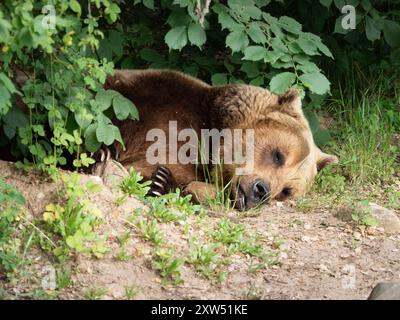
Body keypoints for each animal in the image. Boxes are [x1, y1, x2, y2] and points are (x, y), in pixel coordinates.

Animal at [97, 69, 338, 210]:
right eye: (279, 155)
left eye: (287, 191)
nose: (261, 191)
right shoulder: (164, 120)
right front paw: (160, 180)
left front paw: (164, 183)